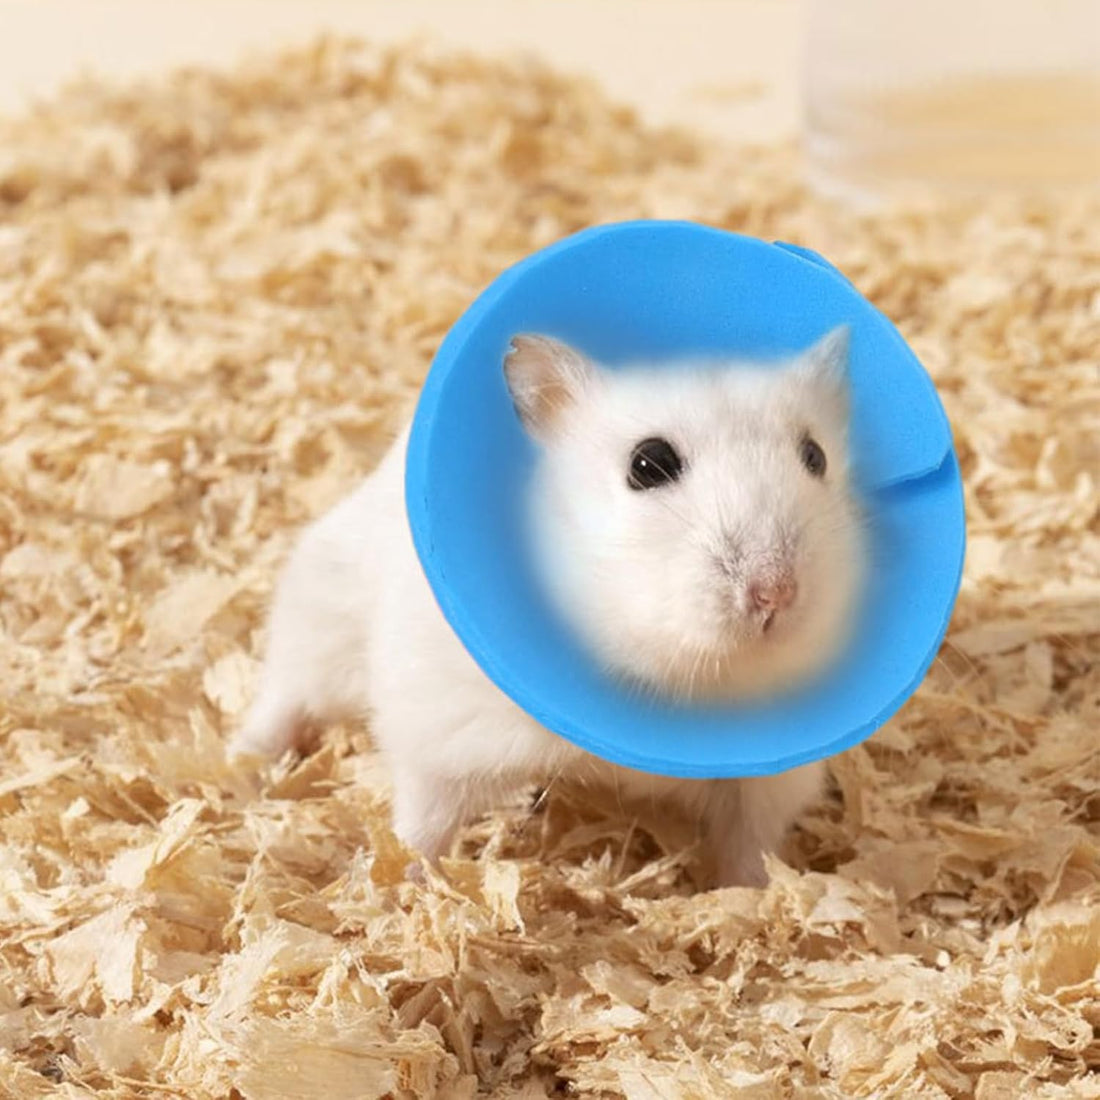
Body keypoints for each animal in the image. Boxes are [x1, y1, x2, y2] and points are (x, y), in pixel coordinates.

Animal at [229, 328, 864, 888]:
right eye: (649, 463)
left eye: (814, 456)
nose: (776, 592)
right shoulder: (440, 731)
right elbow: (424, 820)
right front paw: (397, 885)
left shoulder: (767, 782)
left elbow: (748, 845)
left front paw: (754, 899)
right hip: (320, 617)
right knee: (284, 696)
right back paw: (245, 764)